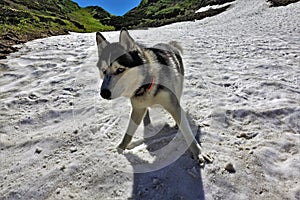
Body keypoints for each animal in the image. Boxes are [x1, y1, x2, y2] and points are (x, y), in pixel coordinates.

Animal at [96, 28, 211, 166]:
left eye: (120, 70)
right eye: (103, 71)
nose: (103, 93)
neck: (146, 85)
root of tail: (169, 44)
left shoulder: (172, 105)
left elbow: (187, 131)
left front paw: (198, 152)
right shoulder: (137, 108)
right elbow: (128, 133)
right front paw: (120, 150)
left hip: (178, 87)